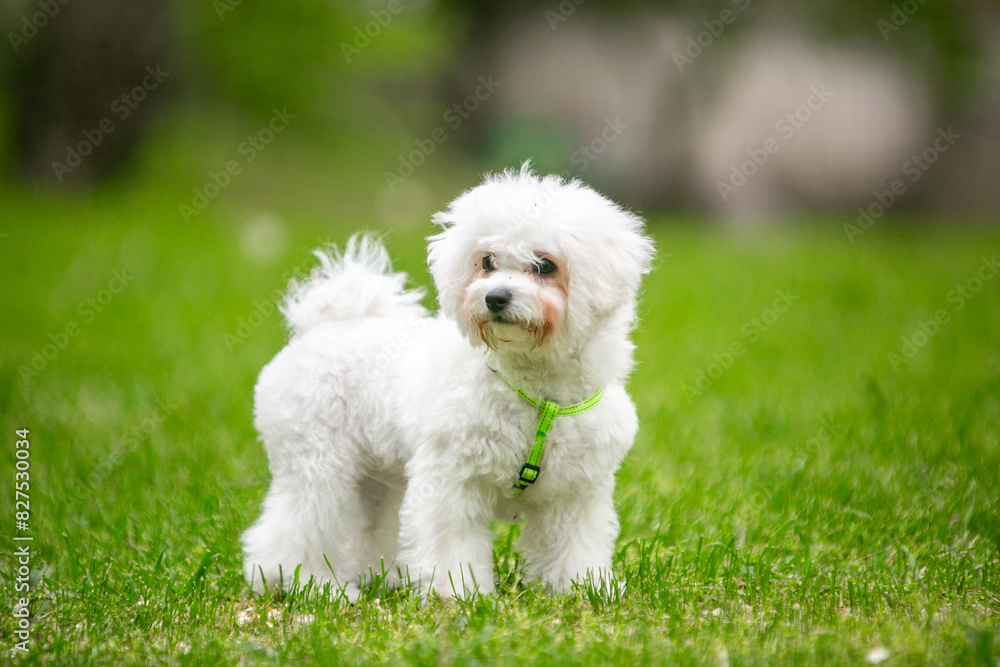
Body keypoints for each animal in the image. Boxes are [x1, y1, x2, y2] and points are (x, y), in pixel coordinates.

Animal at [242, 166, 656, 600]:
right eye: (487, 261)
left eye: (545, 266)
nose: (495, 297)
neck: (534, 392)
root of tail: (321, 326)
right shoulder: (452, 481)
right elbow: (451, 544)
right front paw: (459, 594)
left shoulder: (575, 493)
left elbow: (576, 546)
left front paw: (583, 588)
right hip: (316, 463)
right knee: (295, 530)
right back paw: (309, 584)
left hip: (376, 477)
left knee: (364, 526)